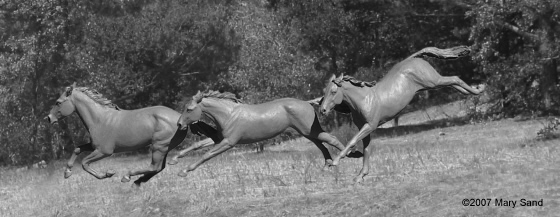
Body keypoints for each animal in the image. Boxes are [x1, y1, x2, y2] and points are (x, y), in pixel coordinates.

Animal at [47, 83, 217, 186]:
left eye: (58, 102)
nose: (49, 118)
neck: (100, 118)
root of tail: (181, 119)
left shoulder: (104, 151)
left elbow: (84, 163)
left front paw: (108, 174)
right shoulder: (94, 146)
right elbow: (77, 149)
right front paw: (67, 172)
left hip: (159, 146)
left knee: (154, 167)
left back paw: (128, 177)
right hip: (164, 148)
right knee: (158, 168)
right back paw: (139, 181)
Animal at [177, 90, 348, 176]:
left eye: (189, 109)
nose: (179, 124)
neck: (228, 114)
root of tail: (307, 103)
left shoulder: (228, 142)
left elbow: (207, 155)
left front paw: (184, 171)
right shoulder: (220, 139)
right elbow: (198, 145)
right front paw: (176, 158)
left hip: (309, 131)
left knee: (331, 139)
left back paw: (344, 157)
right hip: (308, 132)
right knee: (322, 144)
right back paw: (327, 166)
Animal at [320, 46, 486, 183]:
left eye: (333, 91)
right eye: (325, 91)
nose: (322, 110)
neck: (364, 99)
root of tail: (413, 58)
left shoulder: (369, 126)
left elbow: (352, 141)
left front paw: (334, 162)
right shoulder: (366, 128)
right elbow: (366, 150)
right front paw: (360, 176)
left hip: (433, 81)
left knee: (455, 78)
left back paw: (480, 88)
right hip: (433, 84)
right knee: (454, 83)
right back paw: (476, 90)